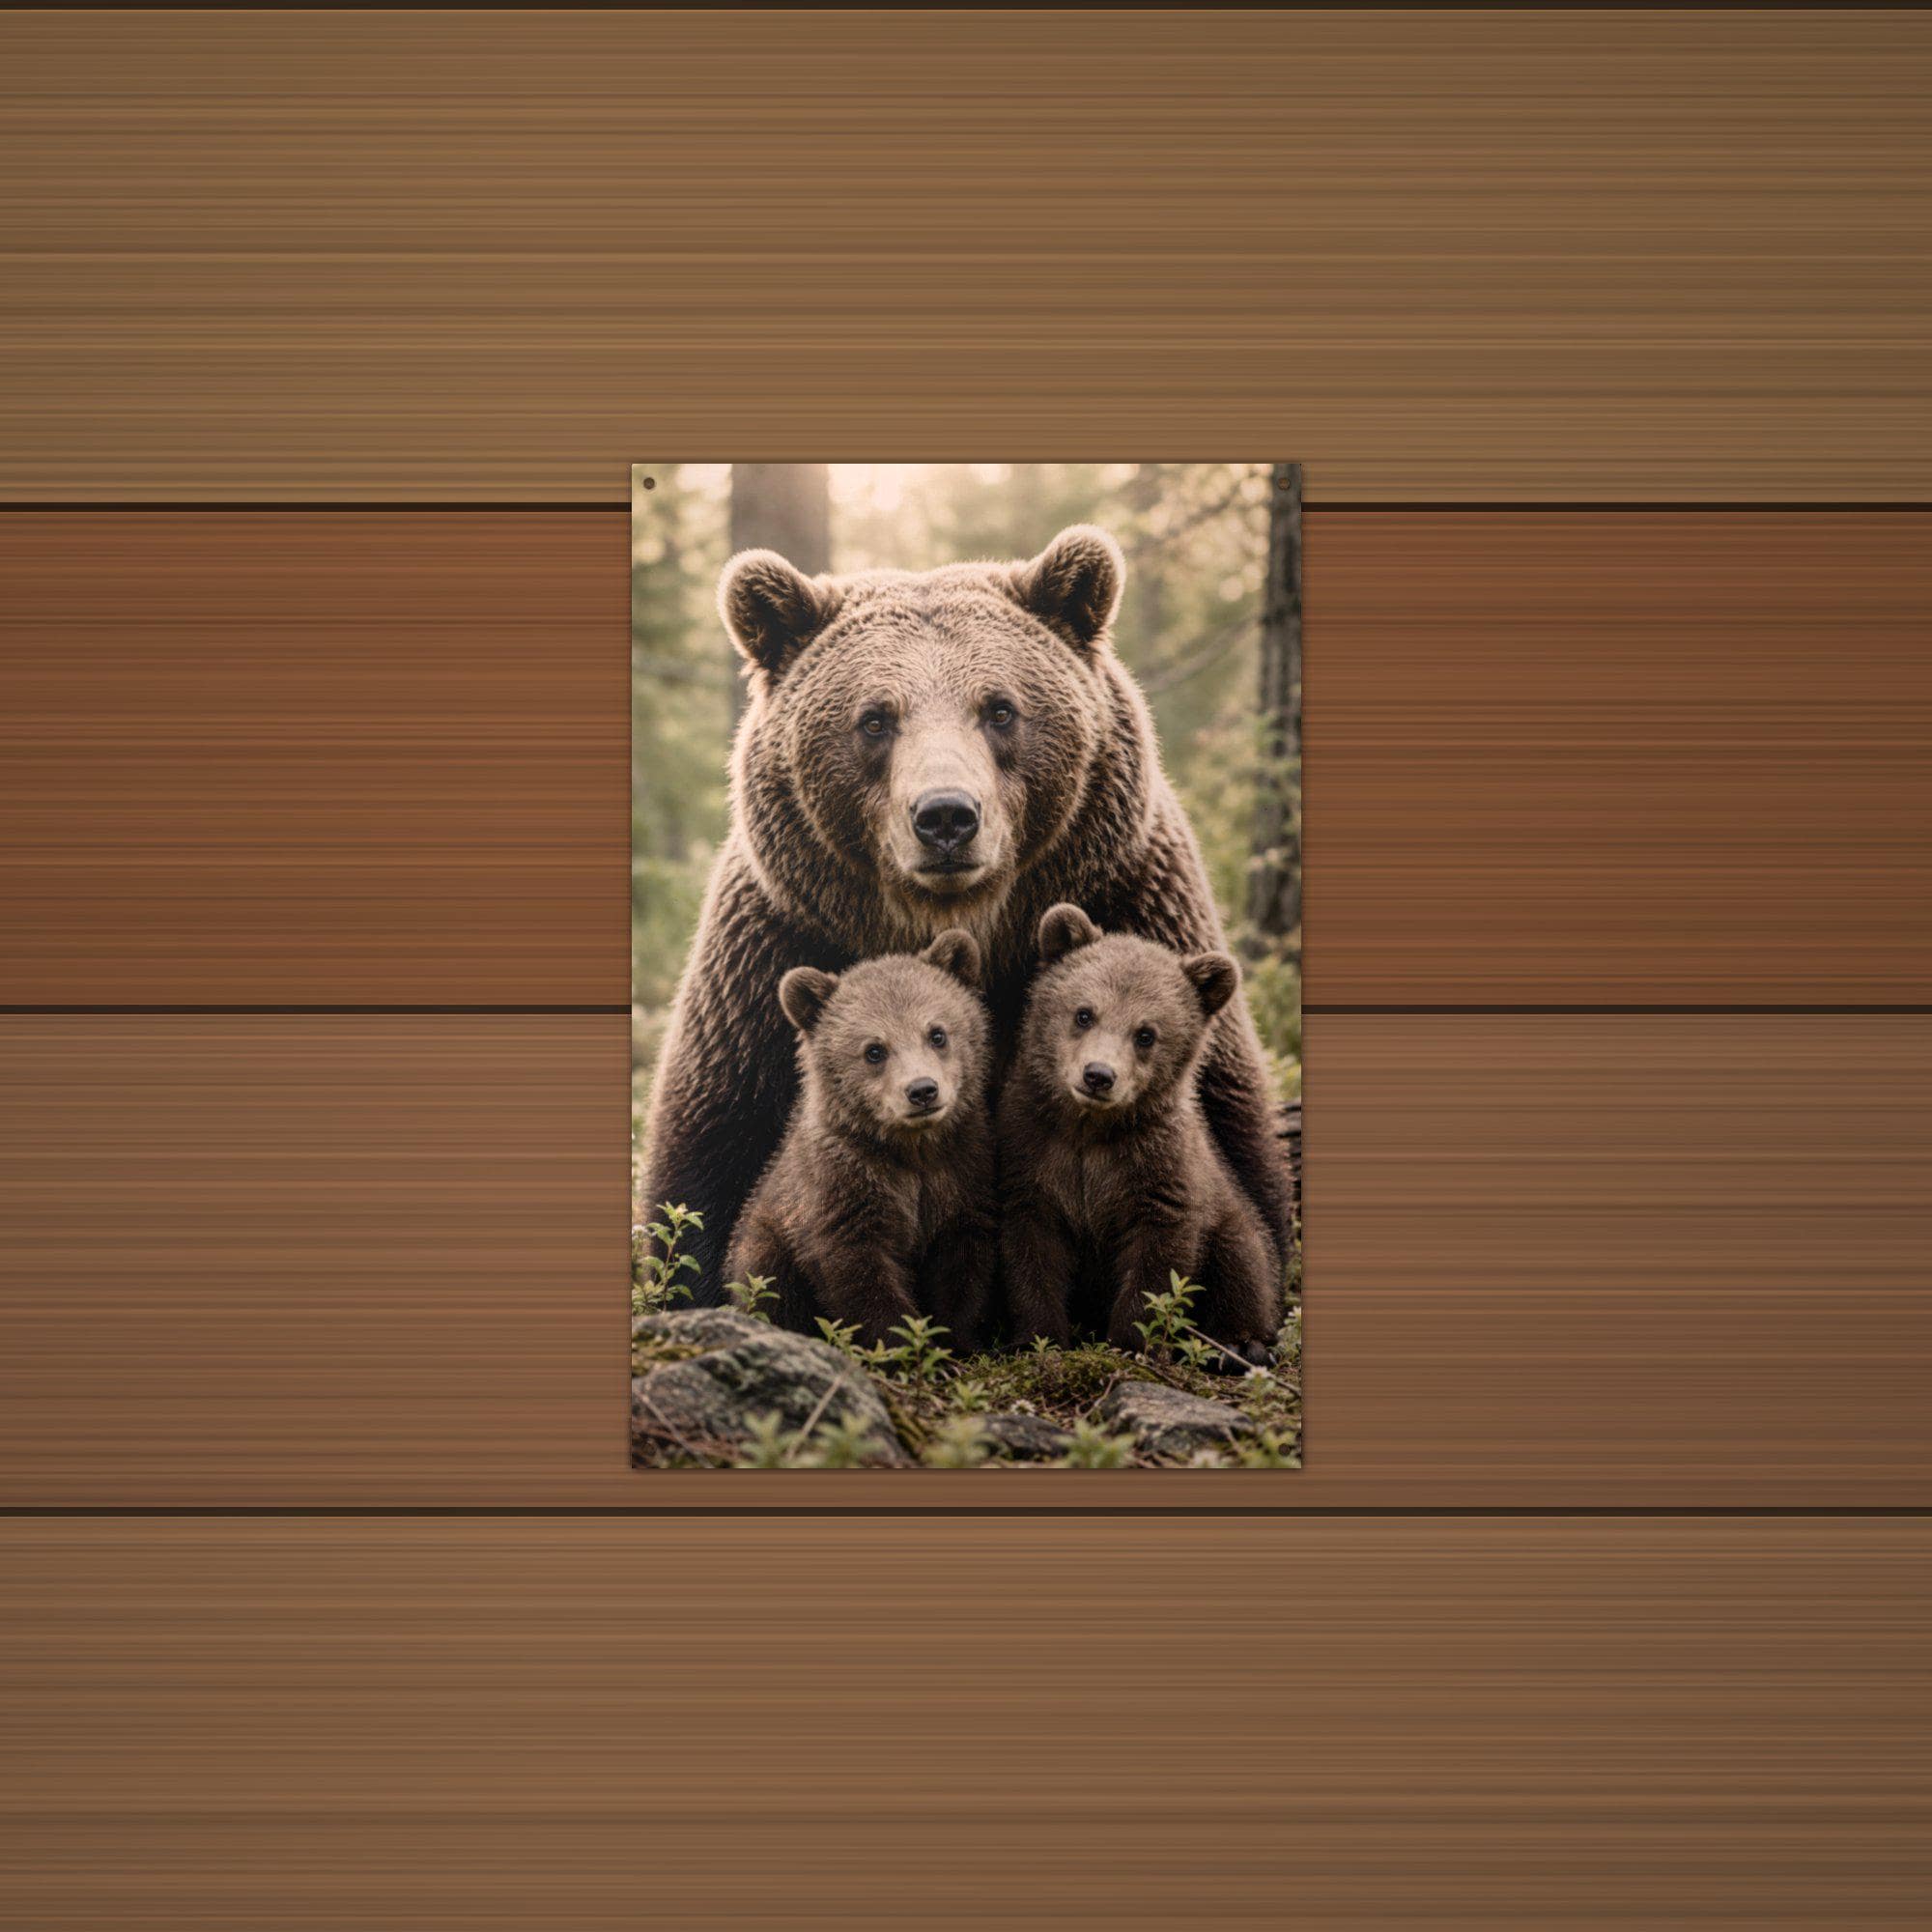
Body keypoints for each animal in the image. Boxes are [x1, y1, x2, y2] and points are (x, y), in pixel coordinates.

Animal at [638, 522, 1294, 1308]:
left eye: (1000, 708)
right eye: (875, 719)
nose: (946, 816)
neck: (966, 921)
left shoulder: (1137, 898)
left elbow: (1229, 1134)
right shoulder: (775, 948)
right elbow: (709, 1157)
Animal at [724, 930, 998, 1351]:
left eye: (937, 1033)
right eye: (874, 1050)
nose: (922, 1090)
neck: (912, 1151)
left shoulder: (961, 1173)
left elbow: (964, 1264)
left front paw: (956, 1340)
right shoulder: (843, 1186)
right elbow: (859, 1272)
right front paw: (904, 1343)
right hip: (765, 1242)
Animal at [998, 904, 1281, 1367]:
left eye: (1146, 1034)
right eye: (1084, 1013)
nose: (1098, 1075)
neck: (1090, 1131)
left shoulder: (1158, 1170)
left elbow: (1158, 1262)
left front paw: (1133, 1342)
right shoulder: (1033, 1154)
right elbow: (1030, 1251)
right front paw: (1037, 1338)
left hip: (1228, 1213)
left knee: (1242, 1259)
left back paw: (1239, 1344)